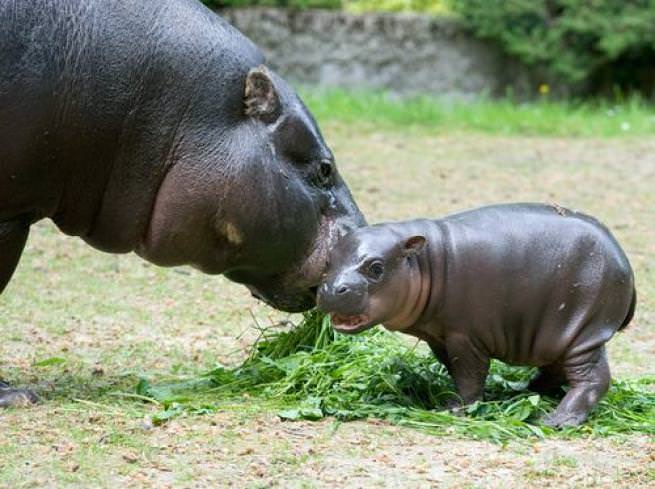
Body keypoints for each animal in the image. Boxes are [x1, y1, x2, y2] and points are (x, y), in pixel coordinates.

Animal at [318, 203, 636, 428]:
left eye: (376, 267)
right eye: (329, 260)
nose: (331, 288)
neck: (424, 263)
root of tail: (624, 260)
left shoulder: (464, 337)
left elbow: (469, 374)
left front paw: (453, 409)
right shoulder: (440, 337)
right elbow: (455, 369)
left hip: (585, 331)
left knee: (593, 379)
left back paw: (556, 421)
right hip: (557, 335)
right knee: (556, 370)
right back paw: (522, 390)